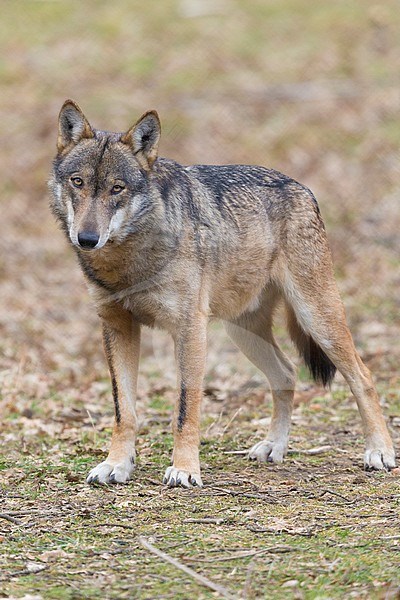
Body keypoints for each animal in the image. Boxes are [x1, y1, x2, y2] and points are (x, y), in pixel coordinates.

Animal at [48, 101, 396, 488]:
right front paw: (116, 465)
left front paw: (185, 469)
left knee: (363, 377)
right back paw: (274, 447)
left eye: (117, 188)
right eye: (78, 182)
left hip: (317, 318)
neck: (127, 259)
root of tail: (303, 188)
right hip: (243, 333)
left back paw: (379, 452)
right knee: (287, 374)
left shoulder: (189, 330)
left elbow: (185, 408)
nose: (87, 239)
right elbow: (124, 410)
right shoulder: (117, 327)